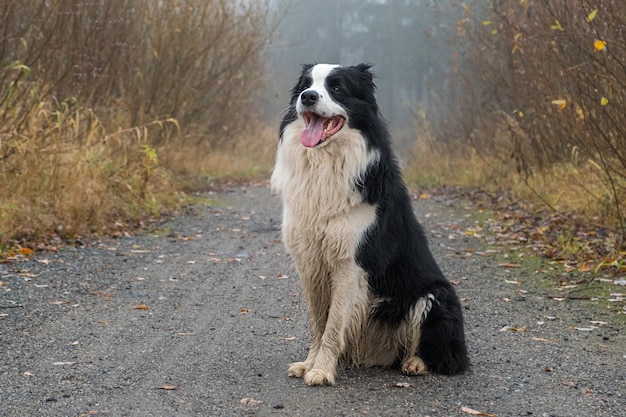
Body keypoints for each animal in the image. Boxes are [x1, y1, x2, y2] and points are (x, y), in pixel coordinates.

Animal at [270, 63, 468, 386]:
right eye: (305, 85)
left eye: (337, 88)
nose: (308, 97)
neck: (326, 163)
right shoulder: (310, 262)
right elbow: (317, 322)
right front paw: (310, 363)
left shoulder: (350, 263)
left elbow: (333, 323)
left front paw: (322, 370)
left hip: (435, 296)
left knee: (446, 356)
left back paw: (415, 363)